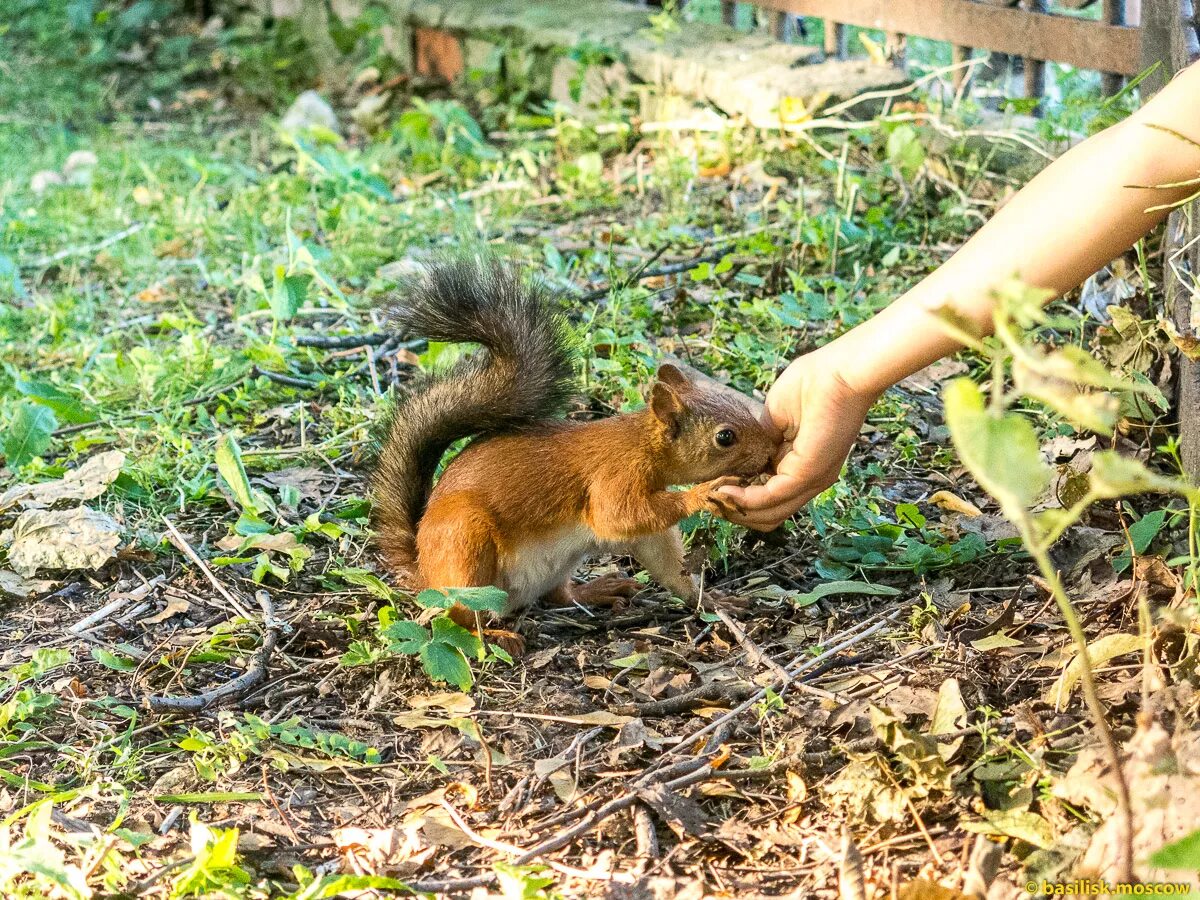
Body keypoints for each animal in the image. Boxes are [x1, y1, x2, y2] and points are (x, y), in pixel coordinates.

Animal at [369, 256, 777, 652]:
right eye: (725, 437)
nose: (772, 450)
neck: (642, 445)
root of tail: (424, 569)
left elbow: (663, 558)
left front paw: (710, 600)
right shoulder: (613, 476)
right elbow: (616, 517)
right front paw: (702, 493)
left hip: (552, 565)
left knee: (558, 597)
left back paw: (597, 589)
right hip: (465, 543)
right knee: (460, 614)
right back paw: (495, 635)